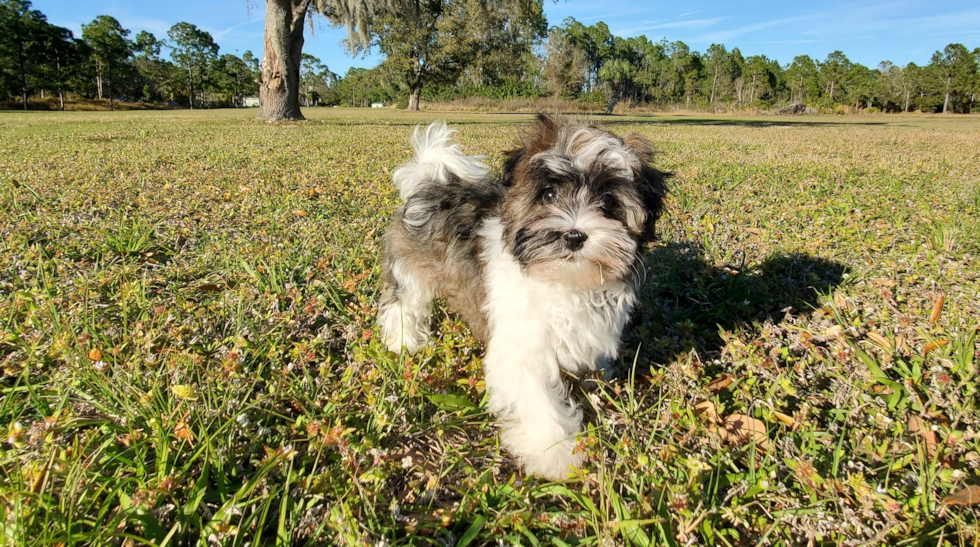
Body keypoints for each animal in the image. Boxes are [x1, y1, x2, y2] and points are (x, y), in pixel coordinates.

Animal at [376, 114, 668, 480]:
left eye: (608, 201)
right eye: (548, 194)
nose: (574, 236)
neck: (562, 280)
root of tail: (431, 182)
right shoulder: (521, 348)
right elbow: (537, 397)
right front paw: (555, 452)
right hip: (408, 268)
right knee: (405, 303)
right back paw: (405, 341)